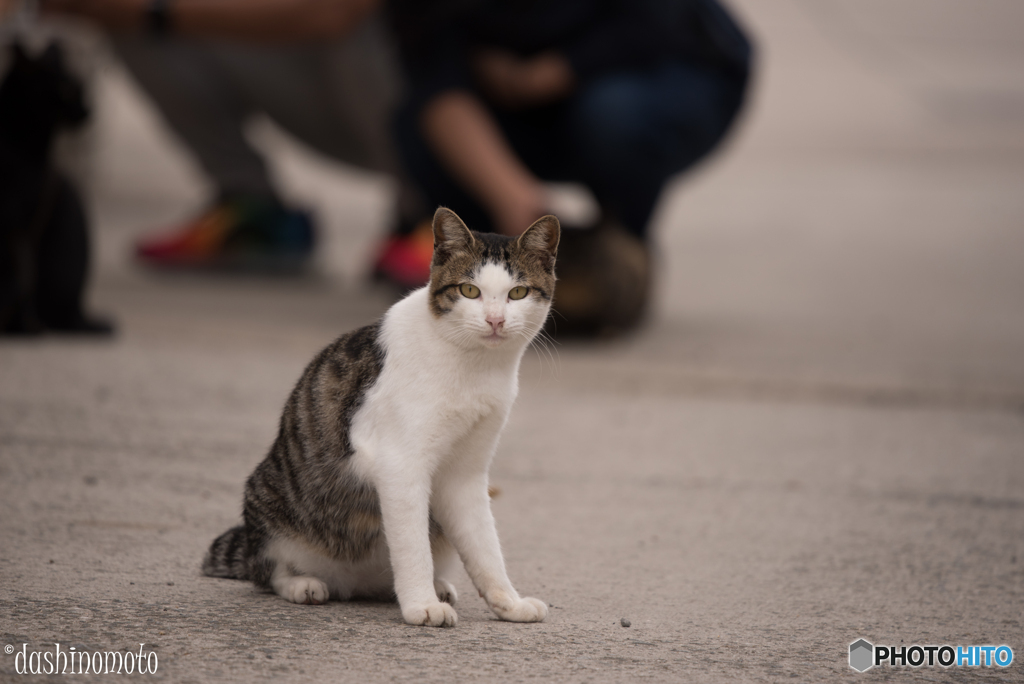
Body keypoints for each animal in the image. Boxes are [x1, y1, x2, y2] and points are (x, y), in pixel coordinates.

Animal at [0, 40, 112, 333]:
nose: (89, 111)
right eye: (66, 91)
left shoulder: (26, 217)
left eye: (81, 88)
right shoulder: (17, 218)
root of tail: (77, 311)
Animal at [202, 206, 557, 626]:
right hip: (267, 502)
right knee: (266, 571)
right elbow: (412, 544)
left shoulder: (466, 474)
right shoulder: (399, 463)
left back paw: (434, 585)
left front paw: (508, 602)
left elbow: (484, 544)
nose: (495, 320)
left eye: (518, 293)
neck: (474, 365)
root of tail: (352, 584)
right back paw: (302, 583)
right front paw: (420, 604)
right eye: (469, 291)